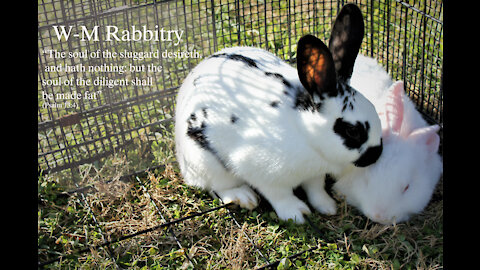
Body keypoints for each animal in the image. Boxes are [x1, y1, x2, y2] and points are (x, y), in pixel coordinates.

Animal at [174, 4, 384, 224]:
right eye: (352, 131)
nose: (377, 154)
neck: (306, 135)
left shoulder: (315, 175)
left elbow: (315, 189)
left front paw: (327, 206)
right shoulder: (261, 172)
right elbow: (279, 195)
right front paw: (296, 213)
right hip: (207, 162)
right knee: (219, 186)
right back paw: (244, 196)